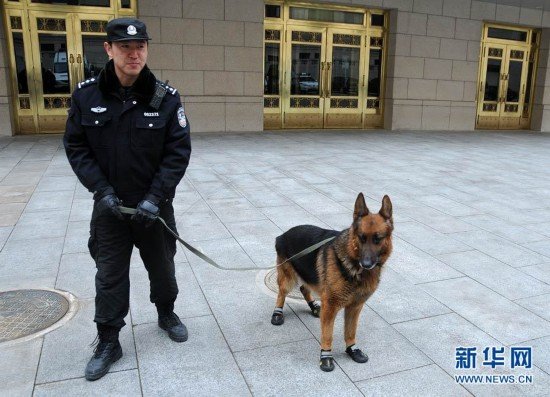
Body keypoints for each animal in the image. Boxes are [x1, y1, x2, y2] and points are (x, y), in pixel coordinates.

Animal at [270, 193, 392, 372]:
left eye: (378, 239)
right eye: (361, 238)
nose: (366, 264)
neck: (353, 264)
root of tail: (283, 235)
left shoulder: (354, 307)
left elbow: (350, 331)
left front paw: (352, 349)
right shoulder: (331, 306)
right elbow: (327, 334)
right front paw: (326, 357)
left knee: (304, 288)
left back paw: (314, 306)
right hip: (288, 279)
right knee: (282, 293)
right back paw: (277, 313)